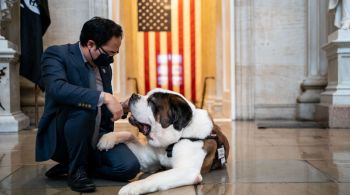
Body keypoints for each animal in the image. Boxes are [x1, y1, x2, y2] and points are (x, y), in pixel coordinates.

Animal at [97, 89, 228, 194]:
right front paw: (107, 138)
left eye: (151, 102)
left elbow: (154, 177)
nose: (134, 95)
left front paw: (131, 187)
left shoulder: (187, 170)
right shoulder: (146, 161)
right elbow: (129, 135)